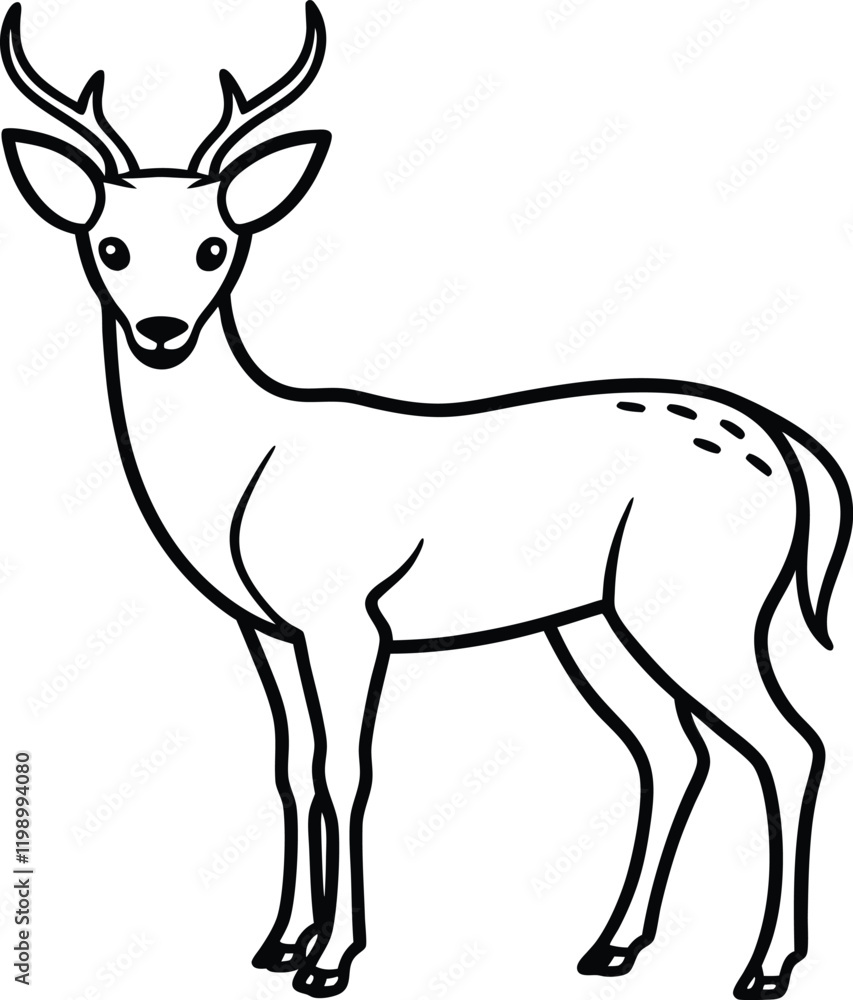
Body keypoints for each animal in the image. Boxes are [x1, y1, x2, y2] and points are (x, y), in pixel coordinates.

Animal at [2, 3, 850, 998]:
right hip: (594, 621)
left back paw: (765, 967)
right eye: (109, 245)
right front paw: (277, 942)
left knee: (789, 745)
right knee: (674, 751)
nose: (161, 330)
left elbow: (347, 770)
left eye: (216, 246)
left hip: (703, 604)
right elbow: (291, 768)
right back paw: (611, 947)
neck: (245, 466)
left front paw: (331, 960)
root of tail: (786, 446)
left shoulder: (345, 614)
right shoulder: (267, 628)